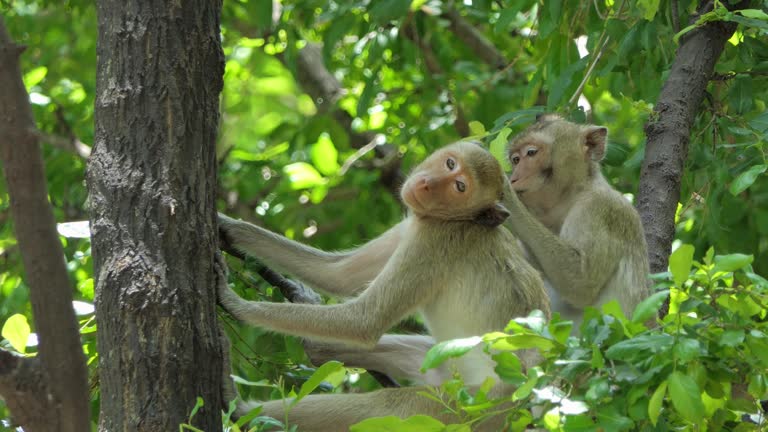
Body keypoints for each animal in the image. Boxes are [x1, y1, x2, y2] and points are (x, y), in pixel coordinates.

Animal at [219, 141, 548, 428]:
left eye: (459, 187)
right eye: (450, 164)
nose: (427, 184)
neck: (461, 219)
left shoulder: (434, 241)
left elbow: (365, 320)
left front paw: (234, 303)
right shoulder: (412, 226)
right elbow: (338, 275)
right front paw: (229, 227)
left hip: (467, 407)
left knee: (387, 406)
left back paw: (242, 412)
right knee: (330, 349)